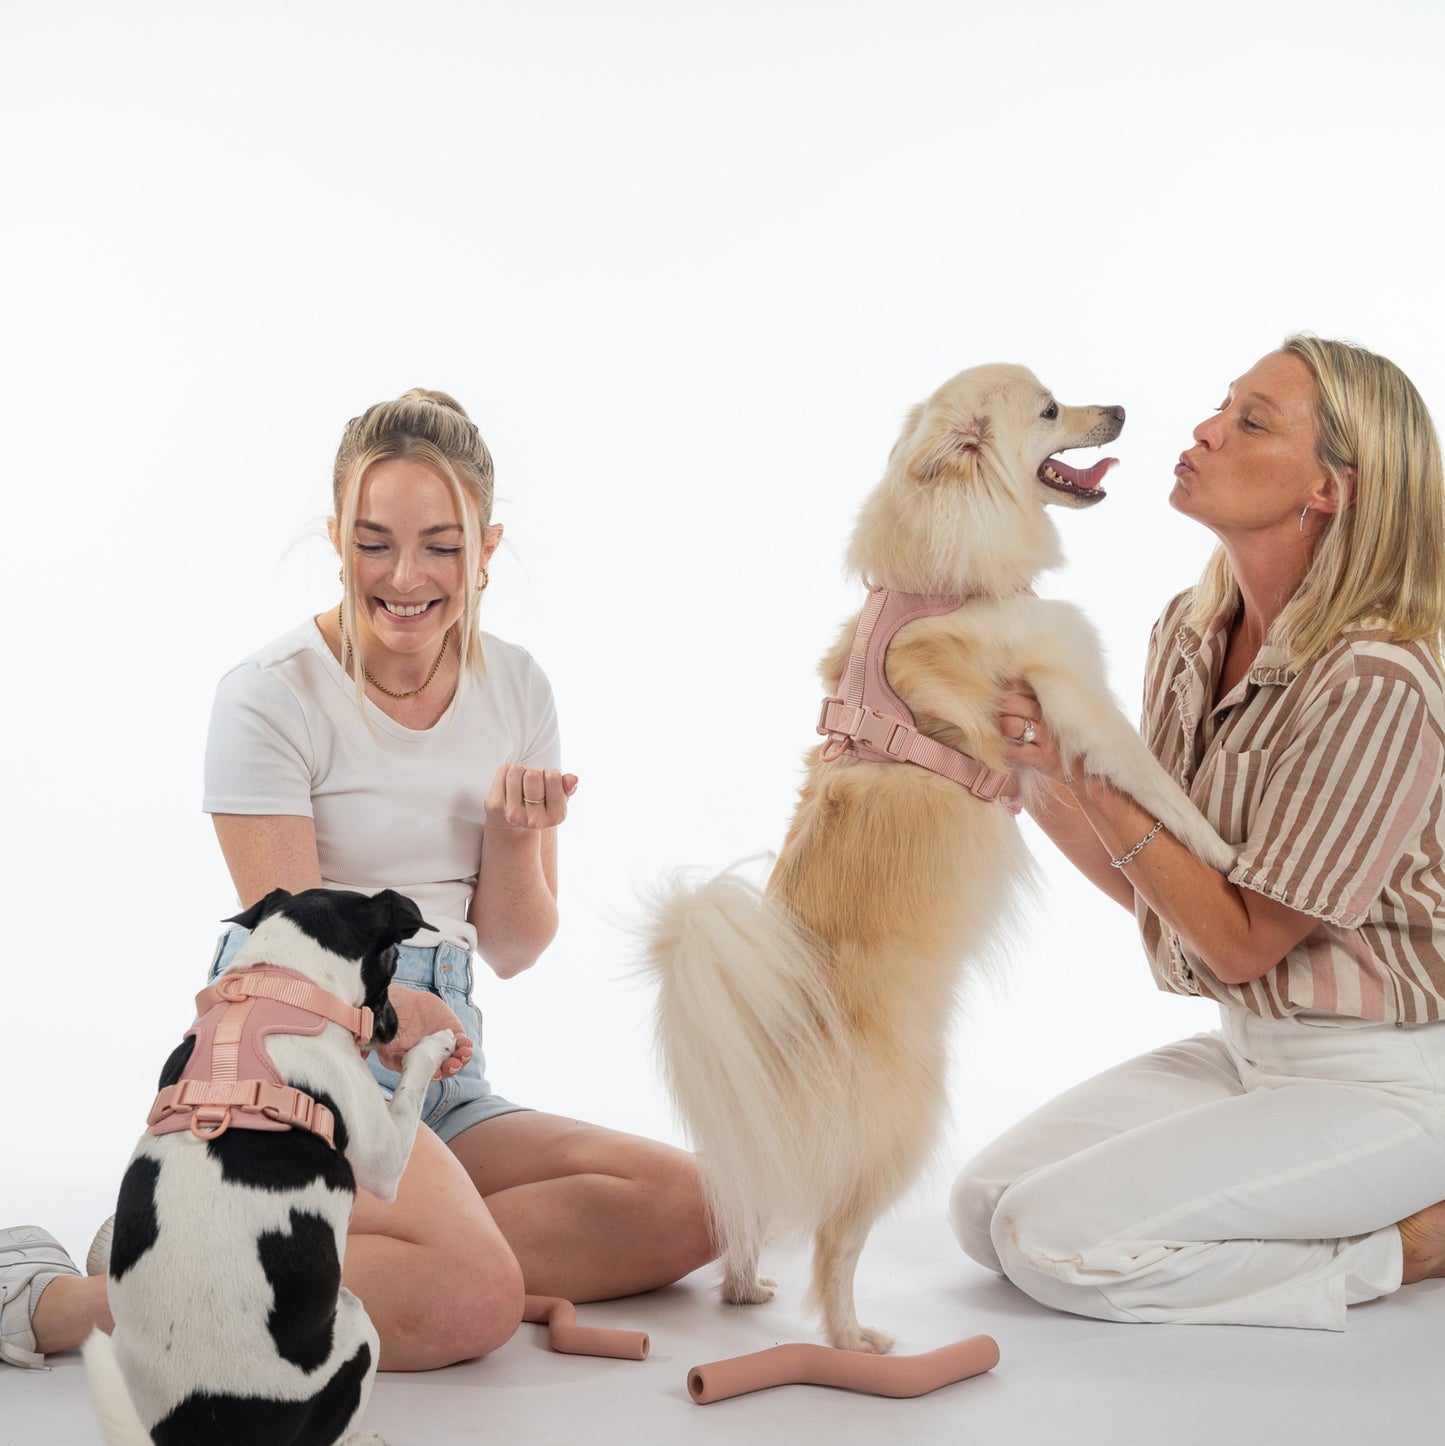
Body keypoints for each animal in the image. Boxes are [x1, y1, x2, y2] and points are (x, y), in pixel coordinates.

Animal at [86, 884, 457, 1446]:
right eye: (395, 958)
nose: (392, 1028)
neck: (280, 988)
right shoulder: (385, 1159)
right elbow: (413, 1082)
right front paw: (434, 1044)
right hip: (357, 1324)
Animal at [650, 361, 1238, 1353]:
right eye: (1050, 411)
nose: (1118, 407)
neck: (939, 573)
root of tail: (778, 1028)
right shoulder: (1077, 702)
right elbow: (1164, 789)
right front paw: (1225, 850)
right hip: (906, 1125)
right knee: (833, 1242)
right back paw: (852, 1340)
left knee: (751, 1210)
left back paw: (743, 1291)